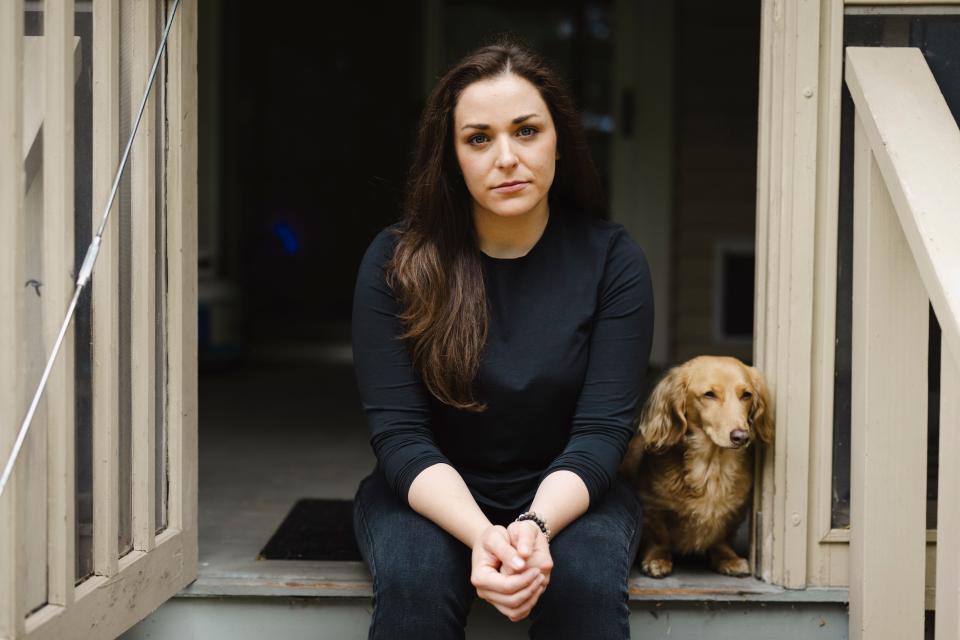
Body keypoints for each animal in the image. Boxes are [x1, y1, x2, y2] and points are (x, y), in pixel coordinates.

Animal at [624, 356, 772, 580]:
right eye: (709, 394)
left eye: (746, 395)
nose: (741, 437)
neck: (712, 466)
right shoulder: (652, 506)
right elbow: (658, 538)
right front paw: (657, 559)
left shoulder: (734, 511)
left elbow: (722, 538)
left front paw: (728, 559)